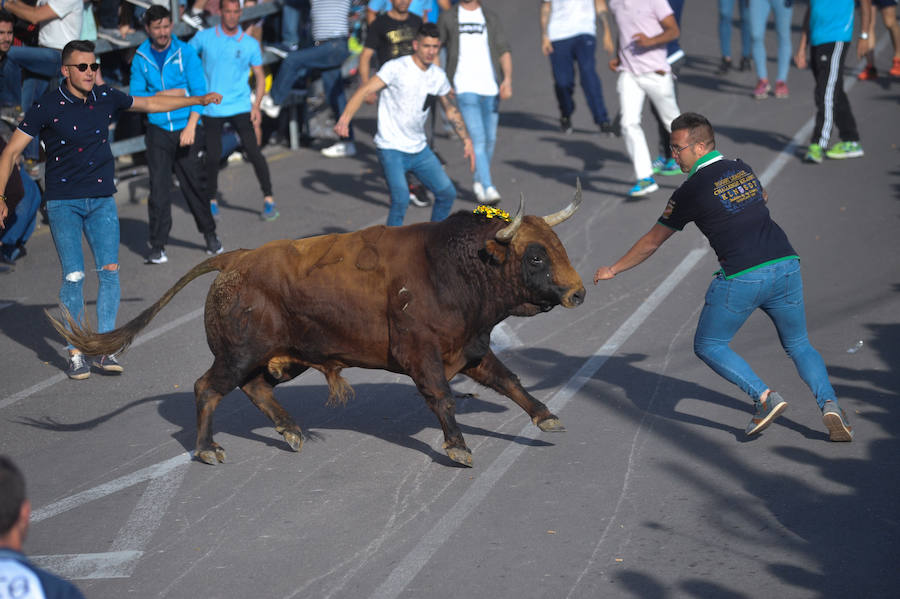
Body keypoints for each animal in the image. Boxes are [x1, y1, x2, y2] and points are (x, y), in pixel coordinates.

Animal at [49, 184, 588, 468]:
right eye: (535, 256)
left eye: (556, 245)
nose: (579, 292)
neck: (450, 266)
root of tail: (235, 259)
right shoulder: (423, 356)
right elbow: (442, 398)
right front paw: (457, 447)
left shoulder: (470, 349)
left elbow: (509, 381)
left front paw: (546, 416)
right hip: (238, 354)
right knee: (208, 387)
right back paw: (207, 449)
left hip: (283, 359)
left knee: (255, 389)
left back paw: (291, 432)